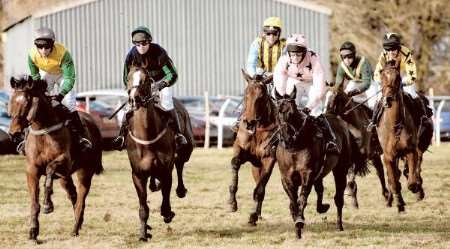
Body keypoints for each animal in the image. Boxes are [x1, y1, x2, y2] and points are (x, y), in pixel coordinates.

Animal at [8, 76, 103, 241]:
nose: (14, 133)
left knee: (81, 198)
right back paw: (79, 222)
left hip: (85, 171)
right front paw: (33, 231)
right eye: (12, 101)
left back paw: (75, 228)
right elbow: (34, 201)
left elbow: (50, 169)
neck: (43, 131)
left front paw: (48, 204)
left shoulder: (64, 161)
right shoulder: (32, 170)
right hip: (65, 177)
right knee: (73, 195)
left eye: (26, 103)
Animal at [125, 66, 193, 241]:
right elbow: (143, 205)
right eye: (128, 78)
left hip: (187, 149)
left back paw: (180, 190)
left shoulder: (165, 169)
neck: (147, 135)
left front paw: (167, 213)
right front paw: (143, 233)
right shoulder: (137, 174)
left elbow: (166, 193)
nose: (134, 99)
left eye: (146, 80)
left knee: (180, 164)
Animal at [229, 69, 278, 226]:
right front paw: (232, 202)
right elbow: (235, 162)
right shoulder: (242, 149)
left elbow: (259, 190)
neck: (259, 129)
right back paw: (258, 213)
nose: (249, 122)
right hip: (256, 166)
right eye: (246, 94)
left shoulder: (269, 158)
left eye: (261, 96)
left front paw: (252, 215)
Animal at [276, 92, 368, 238]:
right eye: (278, 111)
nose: (287, 139)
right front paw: (297, 225)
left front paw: (299, 221)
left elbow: (302, 199)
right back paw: (322, 207)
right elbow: (293, 202)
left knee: (338, 198)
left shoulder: (307, 174)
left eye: (292, 112)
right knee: (320, 189)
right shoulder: (286, 178)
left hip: (340, 169)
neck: (295, 147)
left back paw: (339, 225)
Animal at [376, 59, 426, 211]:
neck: (395, 126)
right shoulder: (388, 156)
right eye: (382, 76)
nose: (388, 99)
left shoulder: (410, 151)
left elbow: (412, 180)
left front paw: (416, 188)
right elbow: (393, 181)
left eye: (398, 78)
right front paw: (399, 203)